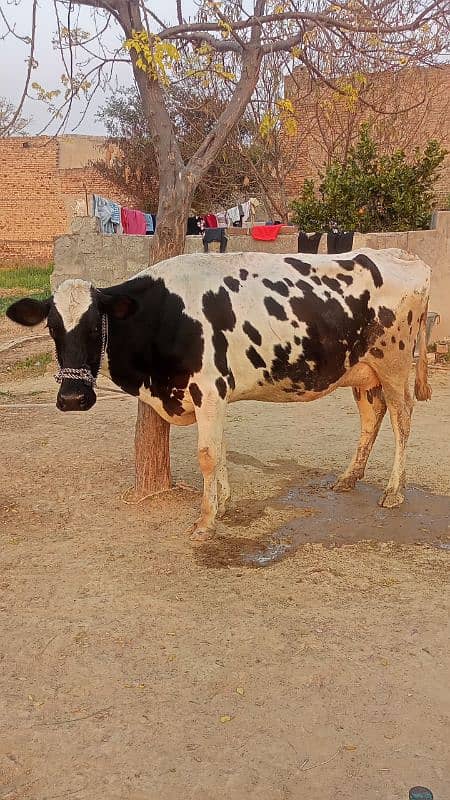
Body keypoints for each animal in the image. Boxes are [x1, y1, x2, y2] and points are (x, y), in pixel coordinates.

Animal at [6, 247, 428, 540]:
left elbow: (208, 455)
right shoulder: (214, 396)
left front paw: (206, 522)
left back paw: (394, 490)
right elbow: (221, 449)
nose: (72, 399)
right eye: (52, 328)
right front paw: (222, 504)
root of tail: (405, 256)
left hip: (394, 364)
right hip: (363, 373)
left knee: (402, 421)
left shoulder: (209, 390)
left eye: (96, 326)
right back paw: (349, 477)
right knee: (372, 417)